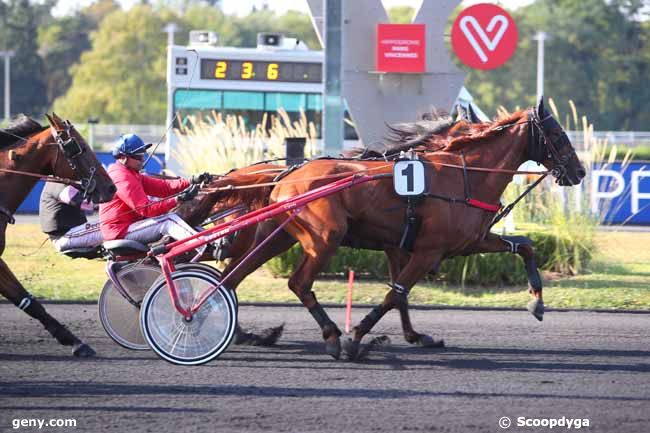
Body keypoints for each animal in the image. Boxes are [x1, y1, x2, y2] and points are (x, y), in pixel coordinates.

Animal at [206, 98, 584, 358]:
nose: (579, 171)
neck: (463, 175)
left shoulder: (462, 242)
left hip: (278, 235)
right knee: (297, 283)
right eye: (556, 133)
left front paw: (536, 304)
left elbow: (525, 245)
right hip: (325, 236)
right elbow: (395, 294)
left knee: (234, 275)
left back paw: (239, 329)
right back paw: (331, 335)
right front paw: (357, 338)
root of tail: (287, 175)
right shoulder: (428, 249)